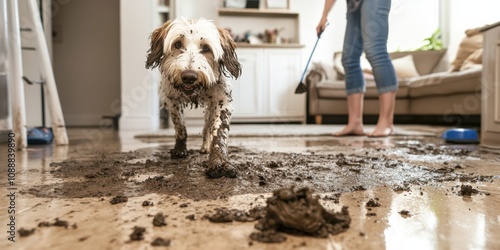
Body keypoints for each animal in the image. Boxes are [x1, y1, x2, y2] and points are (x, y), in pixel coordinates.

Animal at [146, 17, 241, 178]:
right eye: (177, 44)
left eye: (206, 48)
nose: (189, 77)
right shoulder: (172, 100)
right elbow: (180, 126)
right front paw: (180, 149)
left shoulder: (221, 101)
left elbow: (219, 134)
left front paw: (218, 162)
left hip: (210, 110)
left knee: (207, 127)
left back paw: (206, 146)